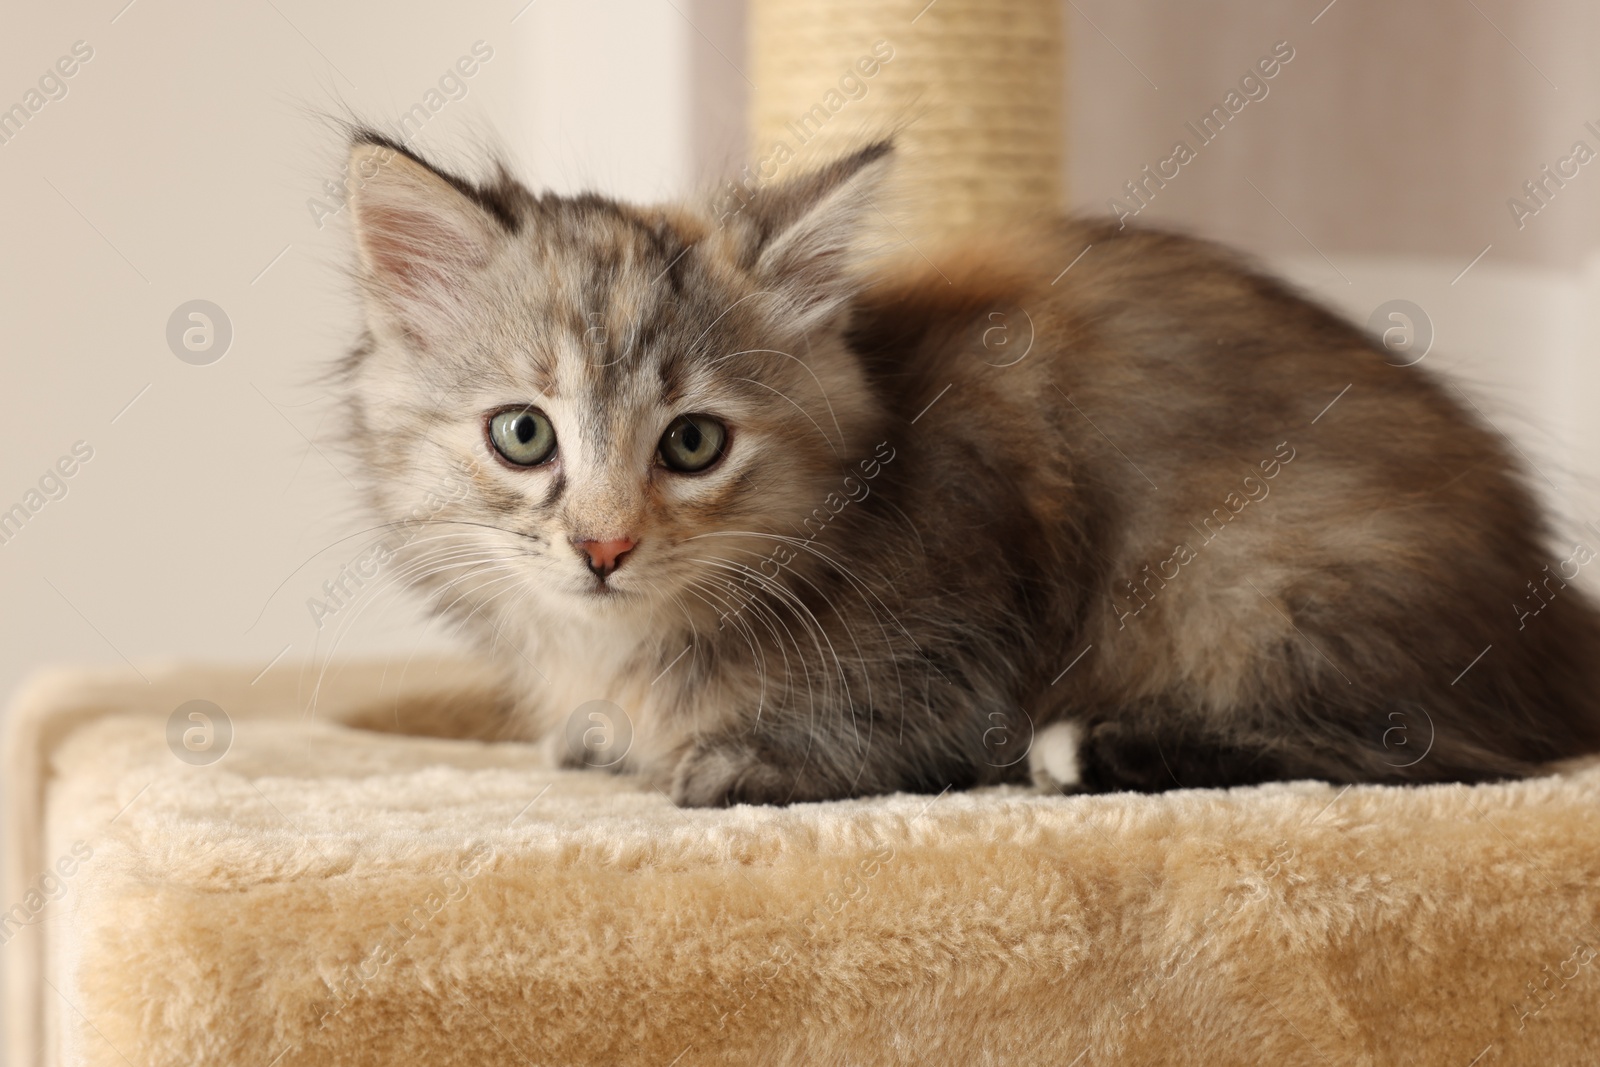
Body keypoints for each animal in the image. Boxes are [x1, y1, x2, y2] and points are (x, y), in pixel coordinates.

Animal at [334, 129, 1600, 806]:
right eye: (524, 434)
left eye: (692, 443)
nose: (603, 544)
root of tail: (1553, 613)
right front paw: (596, 732)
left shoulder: (977, 612)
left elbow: (891, 727)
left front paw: (728, 757)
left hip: (1247, 575)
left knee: (1429, 750)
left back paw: (1088, 746)